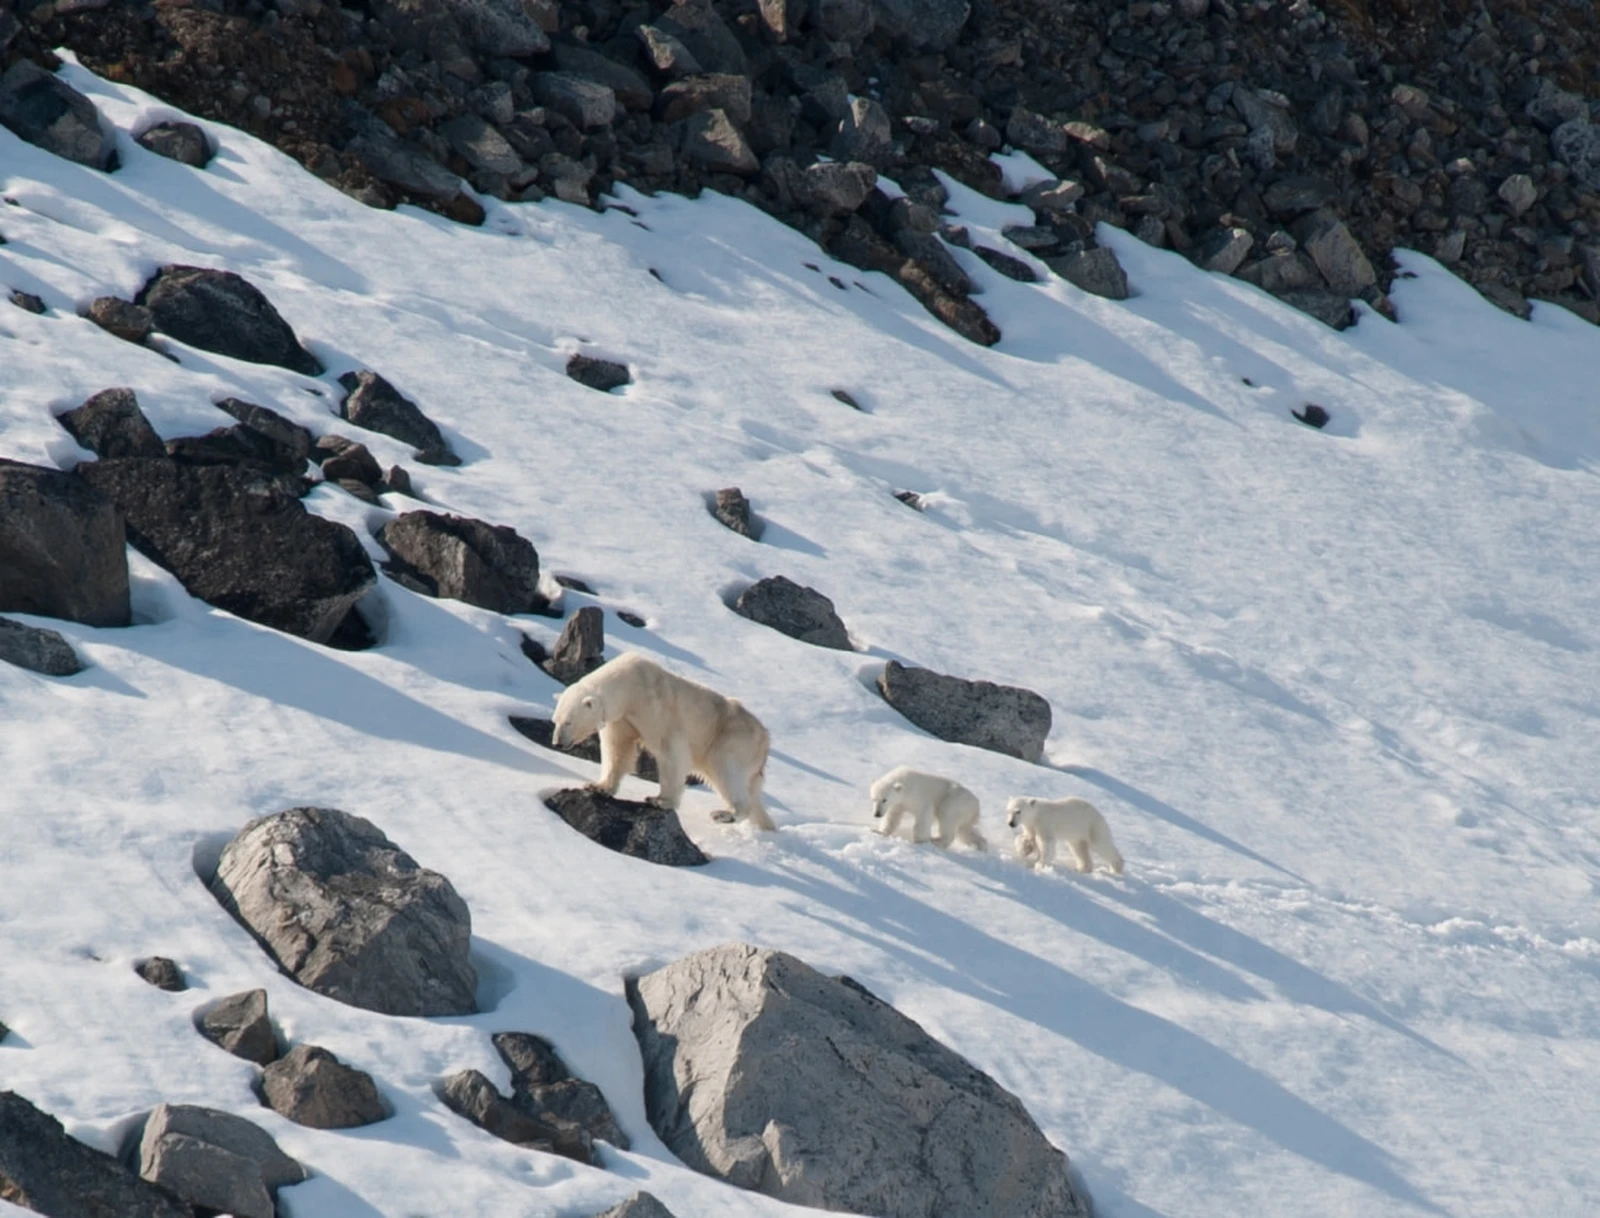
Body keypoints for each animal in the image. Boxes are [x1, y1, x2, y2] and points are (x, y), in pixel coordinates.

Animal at [551, 652, 776, 830]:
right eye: (555, 720)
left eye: (569, 721)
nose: (557, 743)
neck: (629, 685)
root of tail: (765, 739)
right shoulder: (622, 718)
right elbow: (617, 749)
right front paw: (598, 786)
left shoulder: (655, 708)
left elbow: (671, 753)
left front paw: (660, 800)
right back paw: (765, 824)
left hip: (731, 738)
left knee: (727, 770)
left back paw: (725, 814)